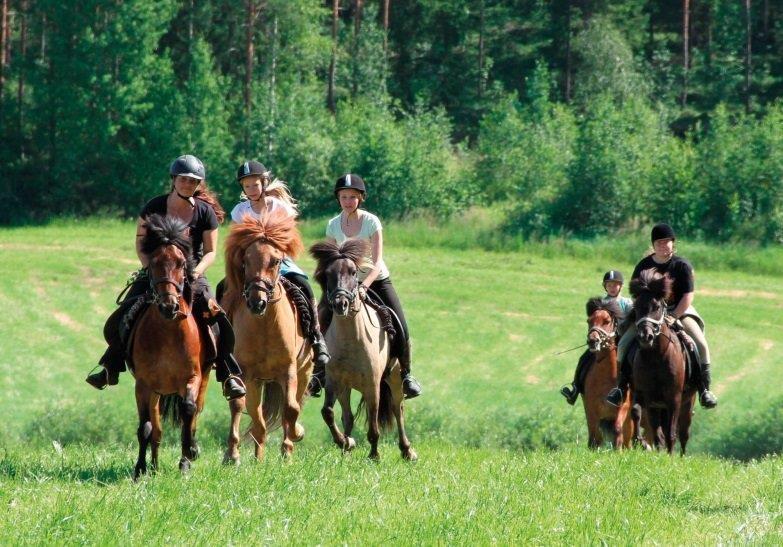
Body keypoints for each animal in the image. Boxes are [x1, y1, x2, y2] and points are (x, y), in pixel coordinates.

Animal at [132, 214, 211, 480]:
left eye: (180, 263)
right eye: (154, 262)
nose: (169, 306)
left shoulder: (192, 377)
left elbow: (188, 410)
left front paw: (186, 460)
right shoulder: (143, 384)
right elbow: (146, 427)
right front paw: (140, 469)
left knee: (195, 412)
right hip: (156, 392)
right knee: (156, 430)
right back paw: (154, 467)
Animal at [220, 210, 312, 462]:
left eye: (276, 261)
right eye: (245, 261)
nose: (257, 302)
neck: (264, 327)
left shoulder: (288, 370)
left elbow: (291, 409)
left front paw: (293, 441)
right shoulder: (246, 375)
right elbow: (246, 410)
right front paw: (235, 456)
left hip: (305, 371)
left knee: (292, 405)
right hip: (256, 381)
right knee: (252, 414)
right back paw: (251, 455)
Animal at [310, 242, 416, 460]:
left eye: (353, 272)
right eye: (328, 273)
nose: (341, 303)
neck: (351, 340)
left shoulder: (372, 385)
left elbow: (374, 426)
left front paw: (374, 456)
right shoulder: (334, 381)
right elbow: (328, 412)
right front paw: (344, 442)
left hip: (394, 378)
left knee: (398, 410)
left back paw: (407, 450)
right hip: (346, 387)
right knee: (347, 417)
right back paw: (346, 448)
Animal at [580, 300, 636, 450]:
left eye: (607, 321)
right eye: (589, 321)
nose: (592, 341)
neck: (606, 376)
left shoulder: (622, 406)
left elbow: (617, 430)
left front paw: (618, 451)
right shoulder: (590, 408)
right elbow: (594, 436)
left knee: (627, 439)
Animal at [632, 268, 700, 454]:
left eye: (657, 307)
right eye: (636, 307)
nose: (645, 336)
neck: (657, 356)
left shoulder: (674, 399)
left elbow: (671, 433)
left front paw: (669, 457)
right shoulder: (650, 400)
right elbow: (656, 432)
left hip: (687, 404)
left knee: (684, 433)